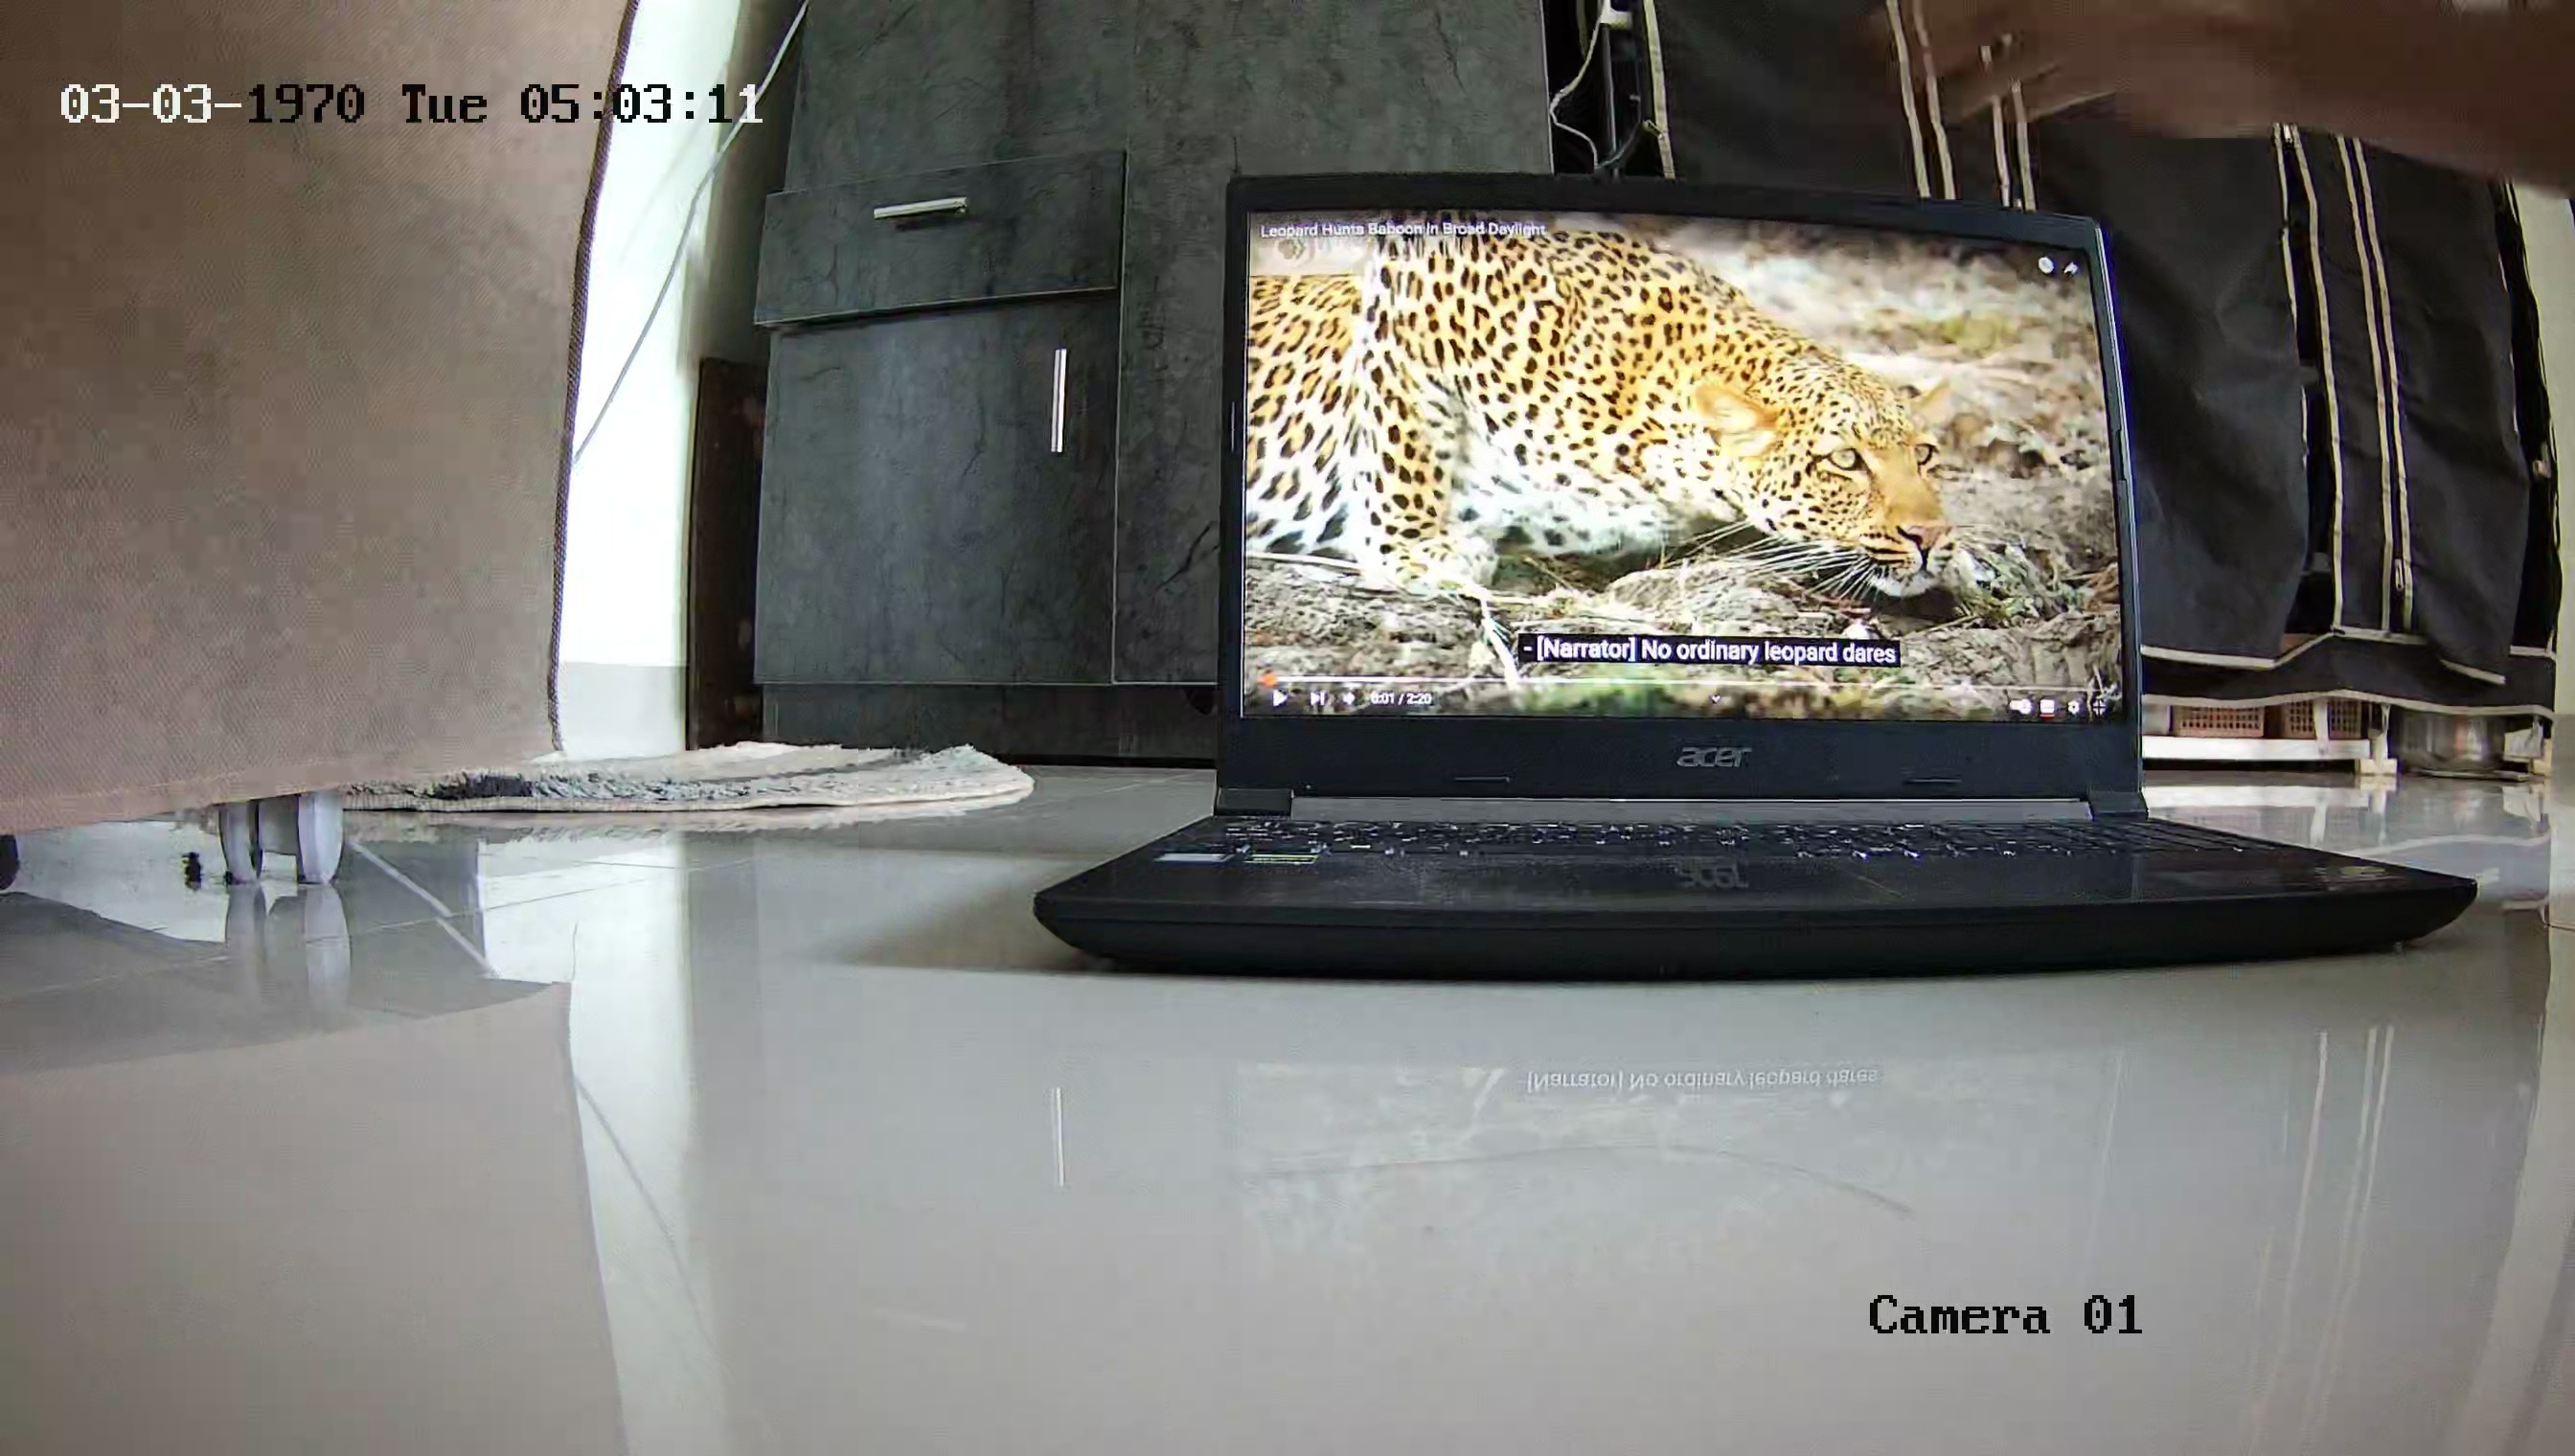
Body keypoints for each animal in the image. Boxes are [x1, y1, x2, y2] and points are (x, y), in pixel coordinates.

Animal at [1241, 220, 1955, 600]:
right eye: (1846, 461)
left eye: (1925, 457)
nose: (1929, 537)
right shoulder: (1422, 279)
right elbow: (1403, 442)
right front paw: (1416, 552)